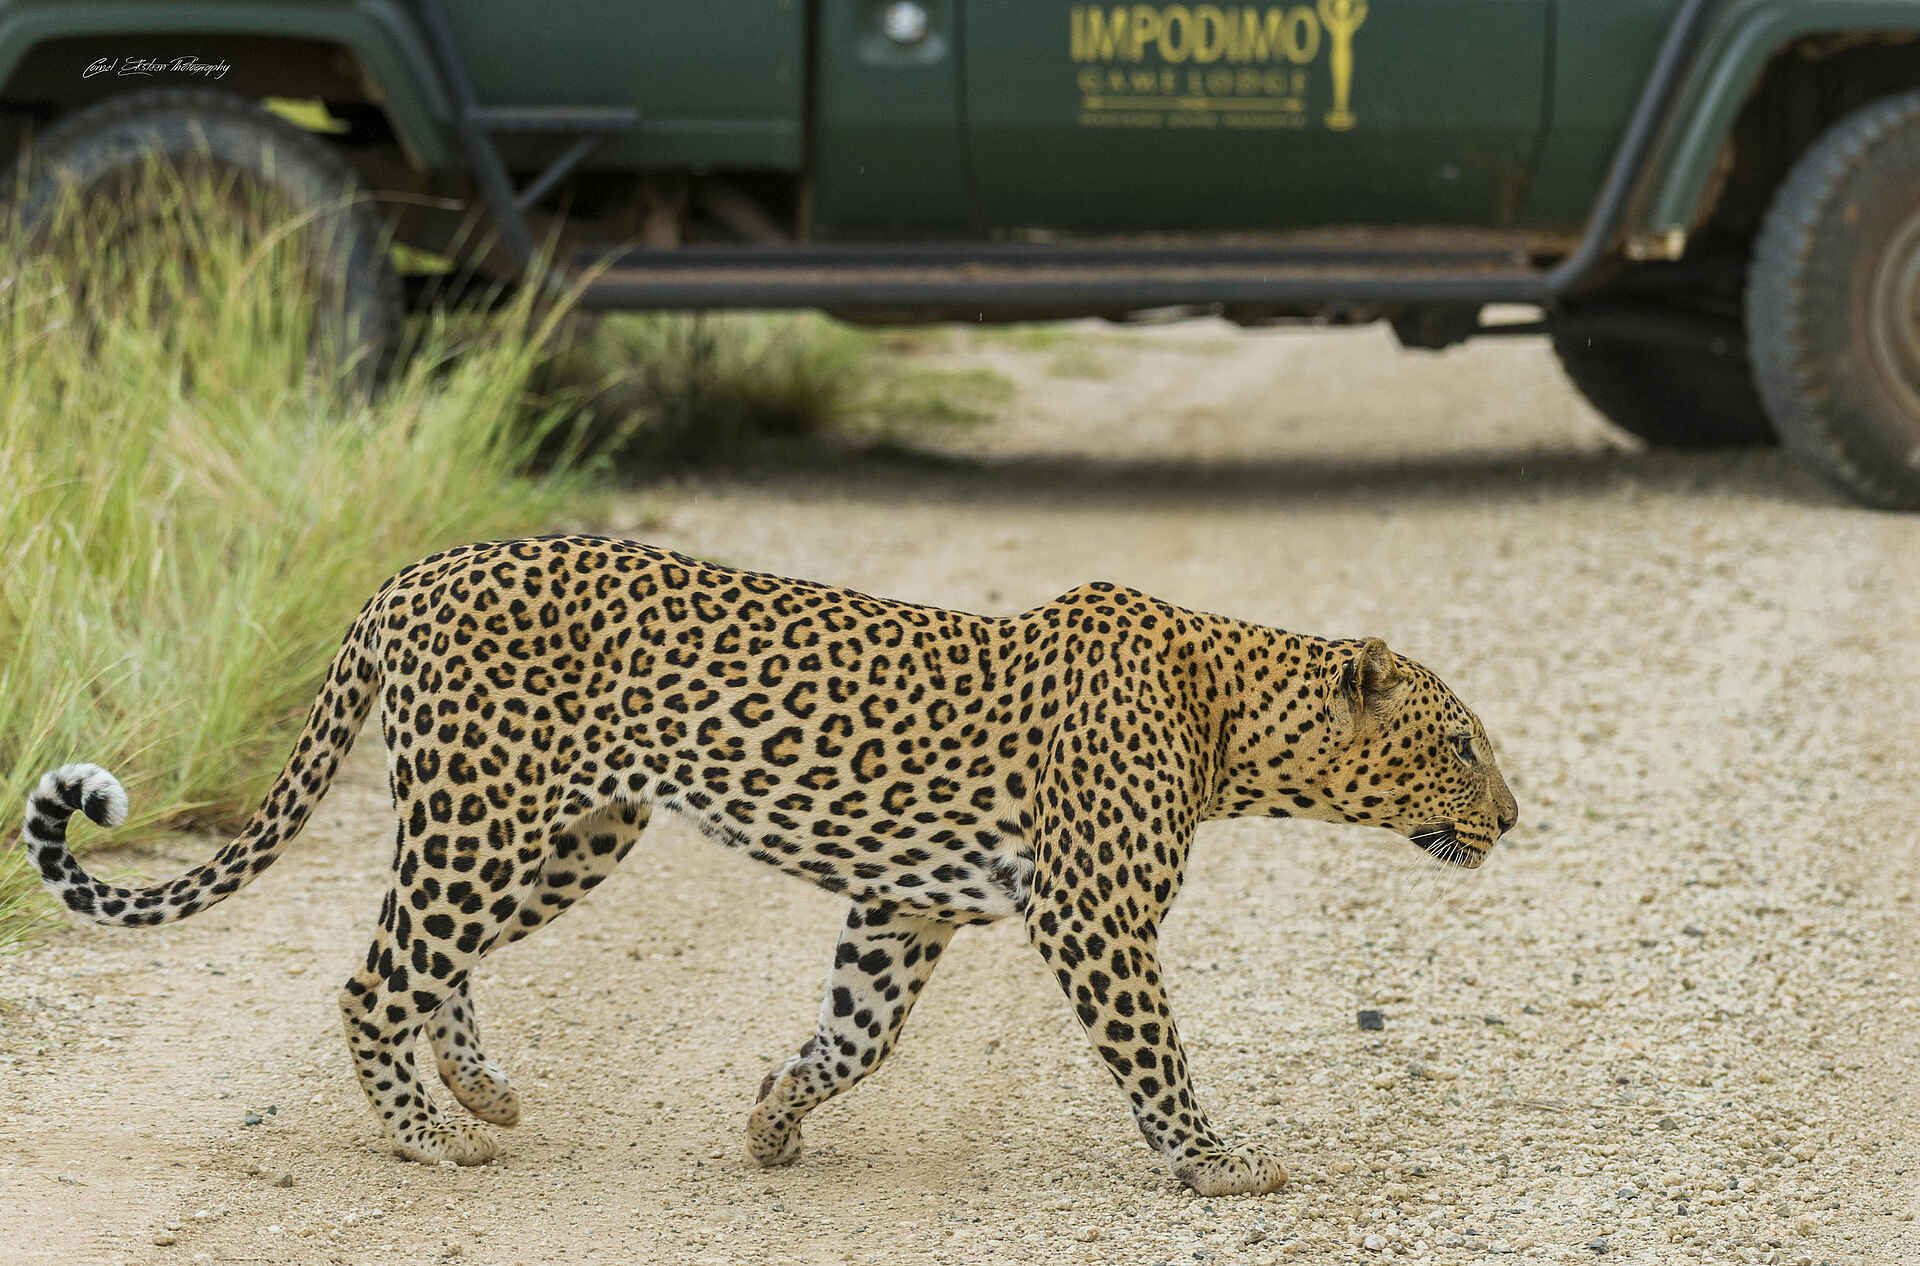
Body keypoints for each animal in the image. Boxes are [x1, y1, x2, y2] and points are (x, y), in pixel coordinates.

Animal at [21, 535, 1517, 1196]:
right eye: (1460, 744)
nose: (1513, 817)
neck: (1231, 724)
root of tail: (412, 574)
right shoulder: (1092, 917)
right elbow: (1155, 1052)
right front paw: (1218, 1164)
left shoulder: (904, 905)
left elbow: (858, 1035)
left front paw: (772, 1120)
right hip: (490, 814)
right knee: (373, 976)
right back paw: (431, 1135)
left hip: (564, 831)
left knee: (431, 963)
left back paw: (482, 1090)